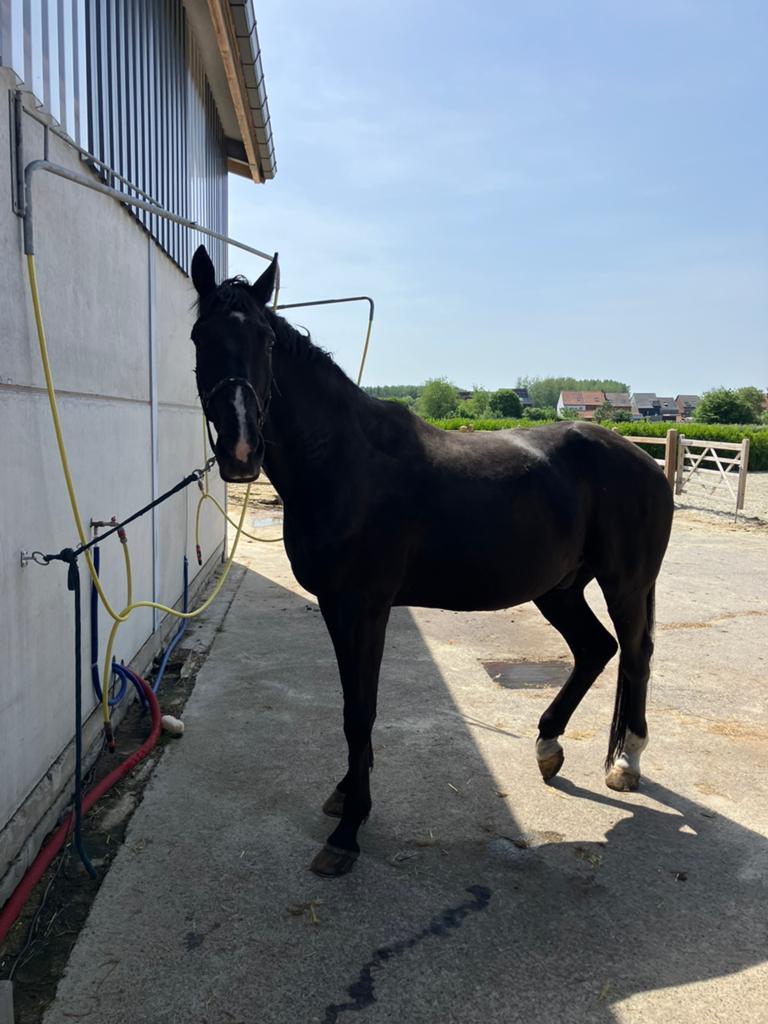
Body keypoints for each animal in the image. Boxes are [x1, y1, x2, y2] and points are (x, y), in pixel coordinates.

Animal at [189, 244, 674, 877]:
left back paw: (626, 762)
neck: (344, 461)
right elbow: (351, 704)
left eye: (267, 340)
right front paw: (346, 795)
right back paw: (547, 747)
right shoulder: (335, 607)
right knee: (597, 649)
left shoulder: (366, 608)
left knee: (635, 655)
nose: (242, 450)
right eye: (200, 336)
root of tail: (643, 460)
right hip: (560, 588)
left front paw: (348, 831)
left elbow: (360, 710)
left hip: (625, 584)